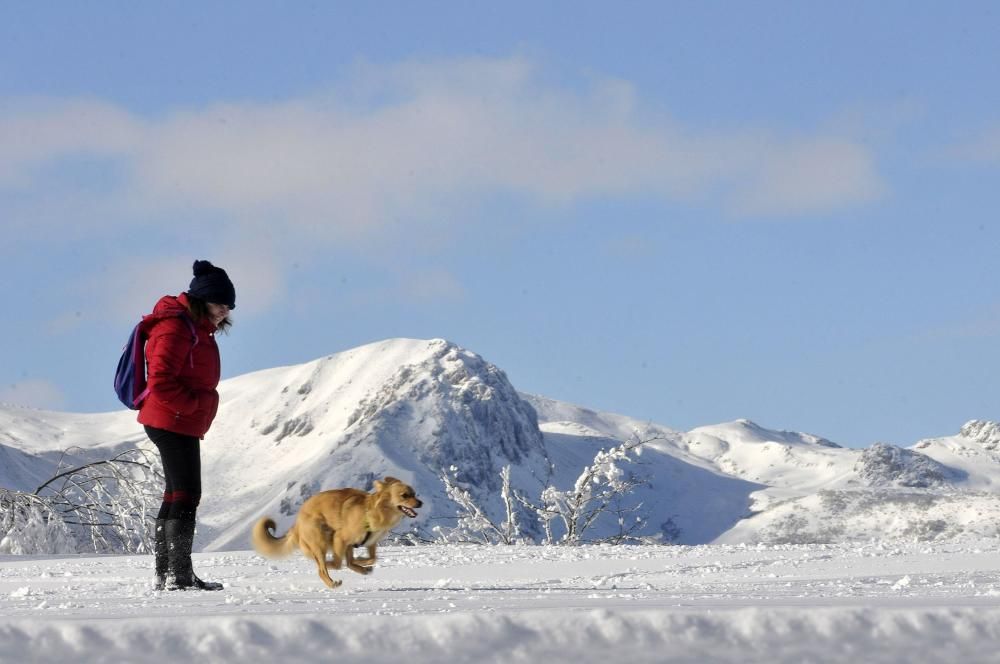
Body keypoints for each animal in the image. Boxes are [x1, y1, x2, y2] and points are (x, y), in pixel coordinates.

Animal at [254, 474, 422, 588]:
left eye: (414, 493)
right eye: (404, 495)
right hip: (321, 540)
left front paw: (362, 562)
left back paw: (361, 570)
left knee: (346, 563)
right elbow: (337, 563)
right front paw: (336, 564)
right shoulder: (340, 538)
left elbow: (371, 558)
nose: (421, 503)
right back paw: (331, 581)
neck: (373, 511)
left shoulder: (369, 542)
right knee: (322, 569)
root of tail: (297, 524)